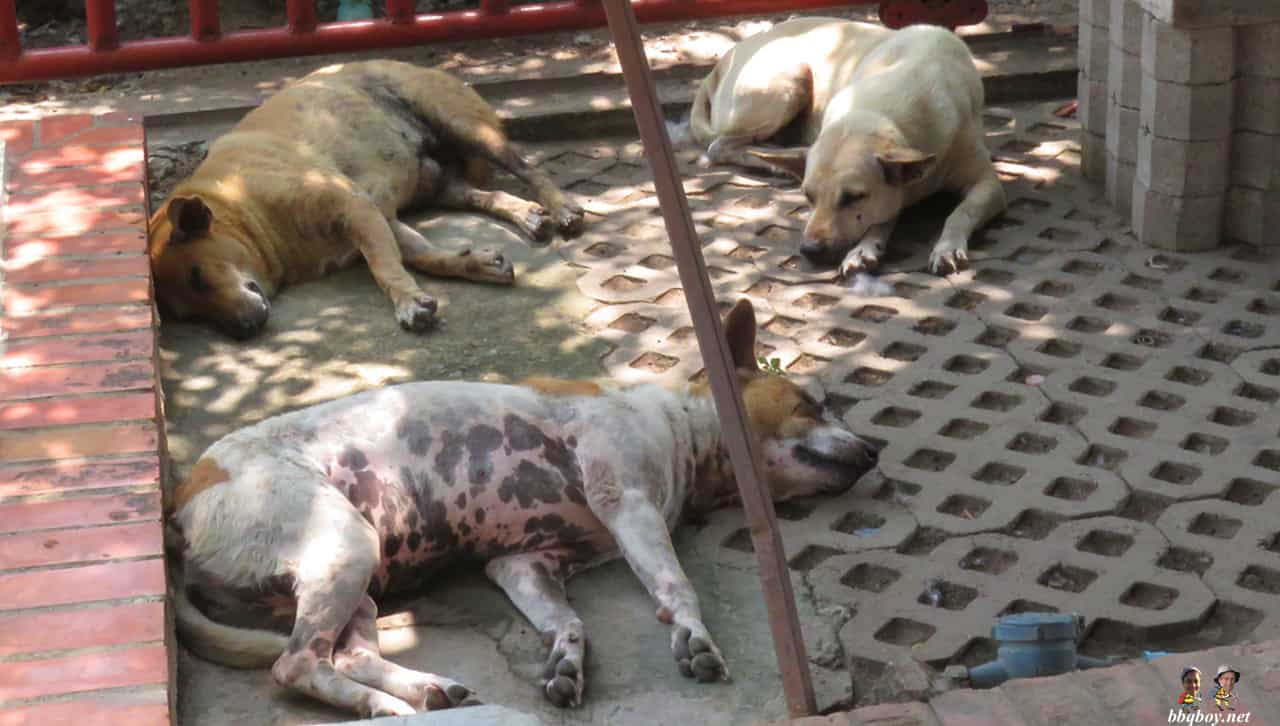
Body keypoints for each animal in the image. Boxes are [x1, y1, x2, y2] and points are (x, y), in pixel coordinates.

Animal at [149, 58, 586, 338]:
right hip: (442, 183)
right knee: (487, 195)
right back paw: (528, 214)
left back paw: (562, 207)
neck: (238, 202)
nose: (243, 331)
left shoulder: (355, 209)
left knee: (528, 167)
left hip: (465, 126)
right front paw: (472, 264)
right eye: (190, 315)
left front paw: (408, 301)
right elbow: (423, 255)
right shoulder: (380, 217)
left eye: (198, 277)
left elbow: (384, 268)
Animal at [696, 19, 1003, 277]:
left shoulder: (988, 183)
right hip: (787, 84)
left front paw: (947, 246)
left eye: (853, 197)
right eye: (808, 196)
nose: (809, 250)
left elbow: (959, 213)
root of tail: (724, 61)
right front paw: (866, 248)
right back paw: (776, 160)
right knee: (719, 145)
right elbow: (881, 219)